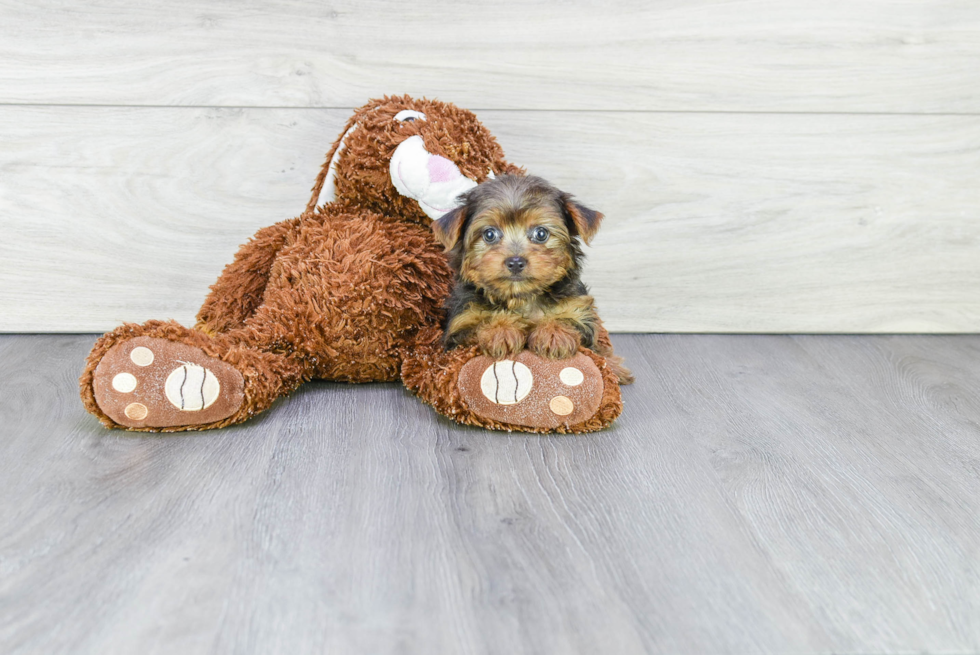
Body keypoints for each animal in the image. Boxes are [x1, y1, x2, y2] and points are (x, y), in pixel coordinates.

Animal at [430, 177, 632, 384]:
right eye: (489, 234)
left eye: (541, 233)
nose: (515, 262)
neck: (521, 297)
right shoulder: (460, 325)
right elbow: (475, 326)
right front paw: (500, 329)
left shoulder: (579, 311)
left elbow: (572, 321)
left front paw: (554, 333)